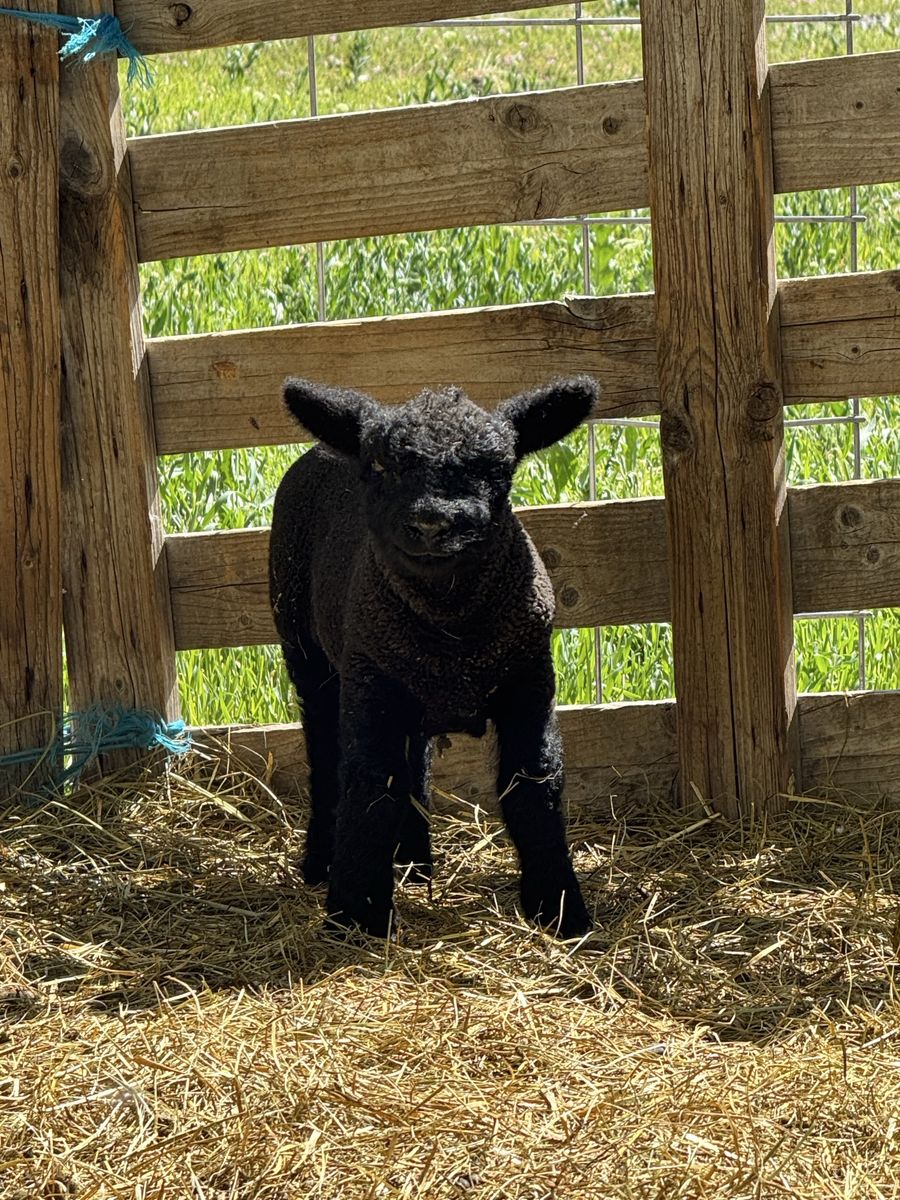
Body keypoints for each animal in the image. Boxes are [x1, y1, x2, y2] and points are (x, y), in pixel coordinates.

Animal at [269, 376, 598, 939]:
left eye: (497, 468)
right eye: (380, 465)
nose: (431, 523)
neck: (452, 633)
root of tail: (320, 447)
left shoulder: (530, 681)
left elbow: (534, 782)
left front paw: (560, 910)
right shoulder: (369, 680)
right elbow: (371, 784)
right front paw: (353, 914)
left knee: (416, 758)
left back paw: (414, 860)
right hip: (306, 648)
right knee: (325, 753)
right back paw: (319, 862)